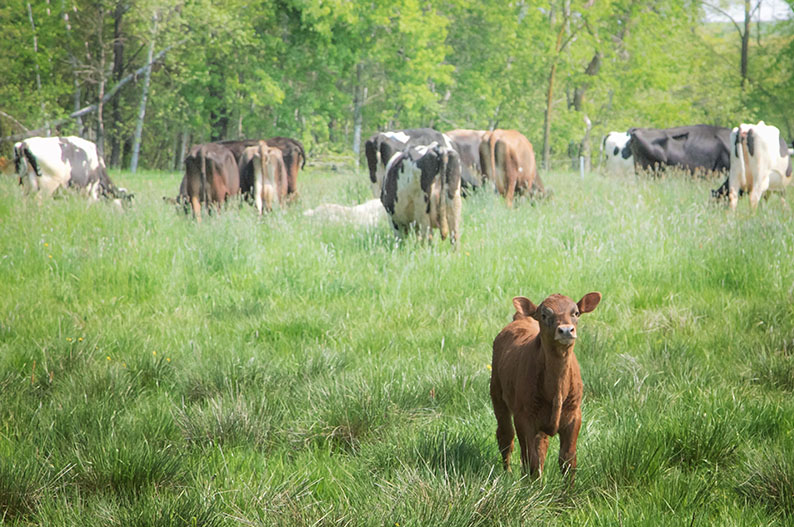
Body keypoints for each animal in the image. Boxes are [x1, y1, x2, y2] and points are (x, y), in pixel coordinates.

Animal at [488, 290, 600, 484]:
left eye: (576, 313)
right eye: (544, 315)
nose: (566, 330)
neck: (556, 389)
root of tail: (522, 318)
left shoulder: (574, 416)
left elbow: (568, 460)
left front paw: (568, 491)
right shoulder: (524, 417)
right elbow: (530, 459)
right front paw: (531, 489)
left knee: (541, 445)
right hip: (497, 395)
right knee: (505, 437)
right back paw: (508, 474)